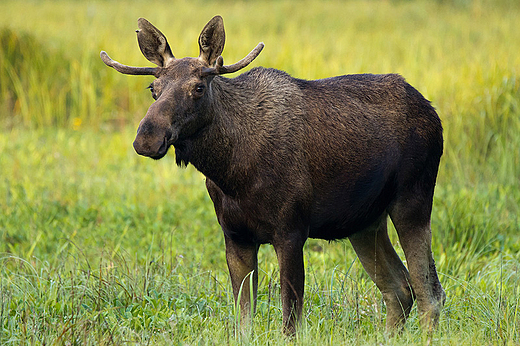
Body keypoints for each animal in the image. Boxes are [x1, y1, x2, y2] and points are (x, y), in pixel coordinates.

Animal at [101, 15, 446, 336]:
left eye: (198, 87)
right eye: (153, 89)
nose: (147, 138)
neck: (232, 172)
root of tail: (433, 112)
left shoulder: (292, 231)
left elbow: (290, 322)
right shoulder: (235, 236)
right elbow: (243, 322)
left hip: (412, 199)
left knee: (430, 292)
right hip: (364, 222)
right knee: (400, 288)